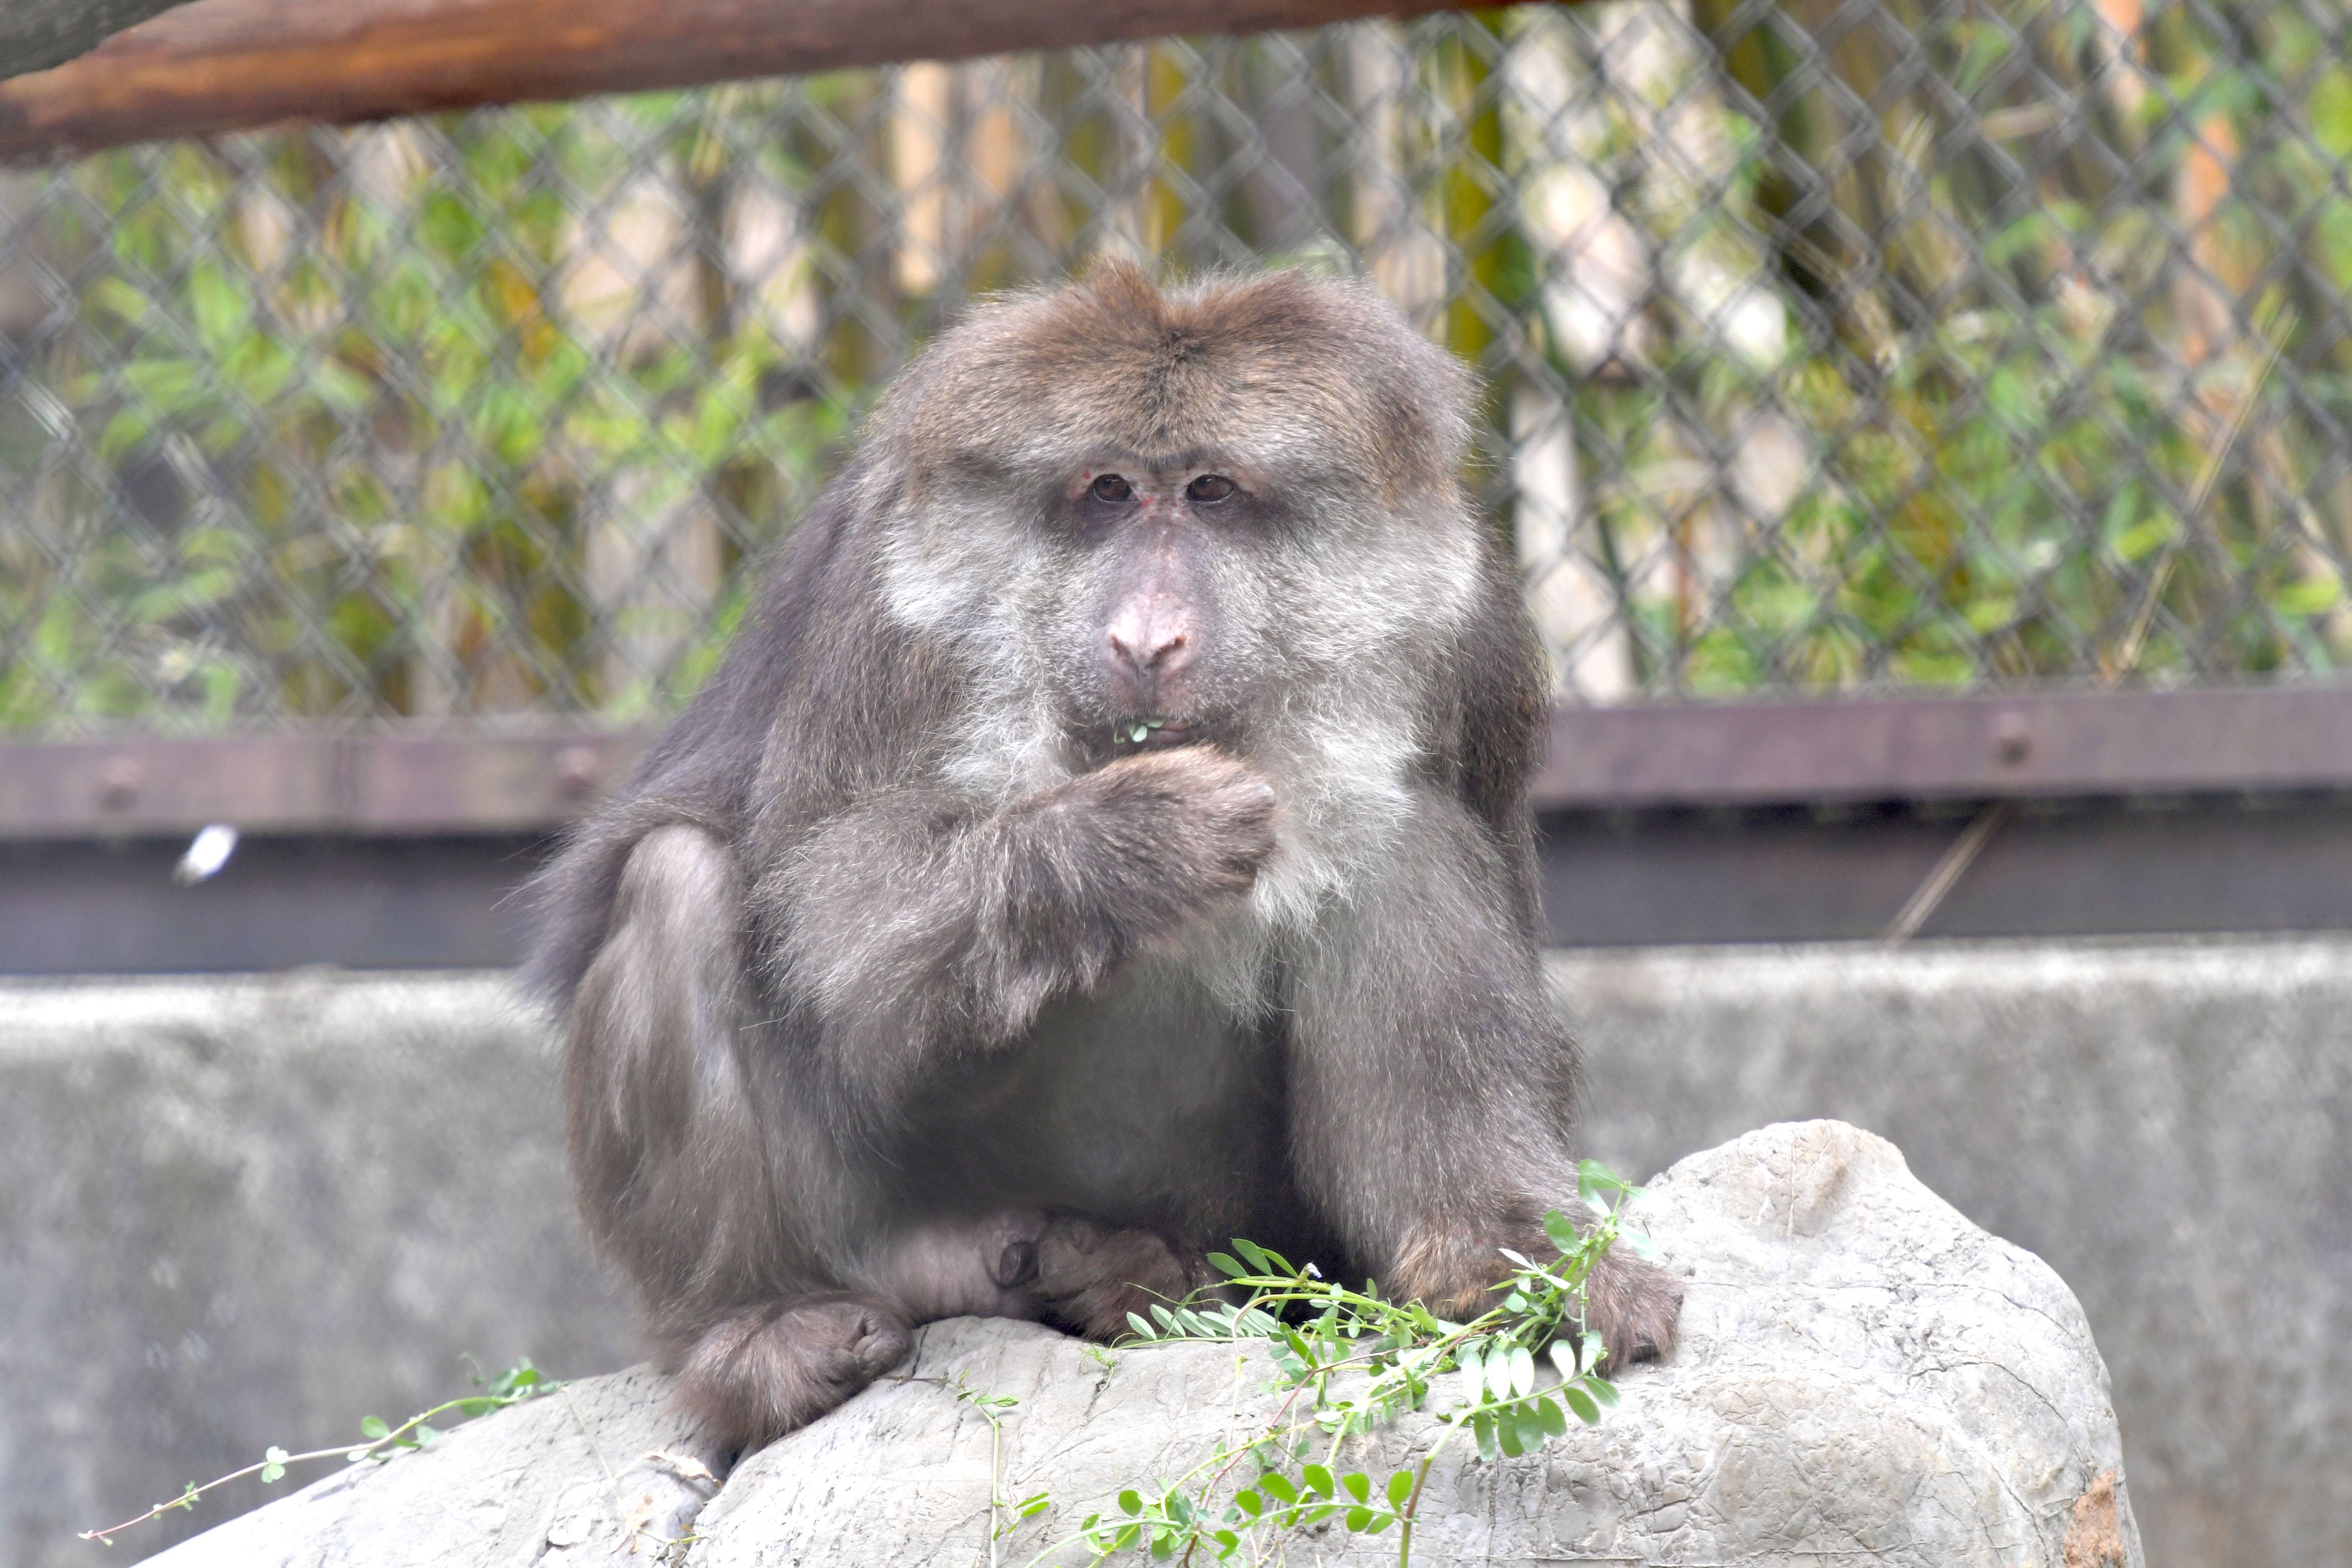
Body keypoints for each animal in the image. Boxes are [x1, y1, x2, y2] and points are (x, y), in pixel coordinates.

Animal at [524, 255, 1684, 1448]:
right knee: (675, 878)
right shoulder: (889, 604)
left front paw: (1518, 1256)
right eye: (1110, 492)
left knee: (1403, 840)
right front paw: (1124, 843)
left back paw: (1189, 1269)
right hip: (879, 1234)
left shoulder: (1461, 622)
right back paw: (758, 1327)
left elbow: (1429, 846)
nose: (1145, 638)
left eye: (1211, 491)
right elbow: (831, 887)